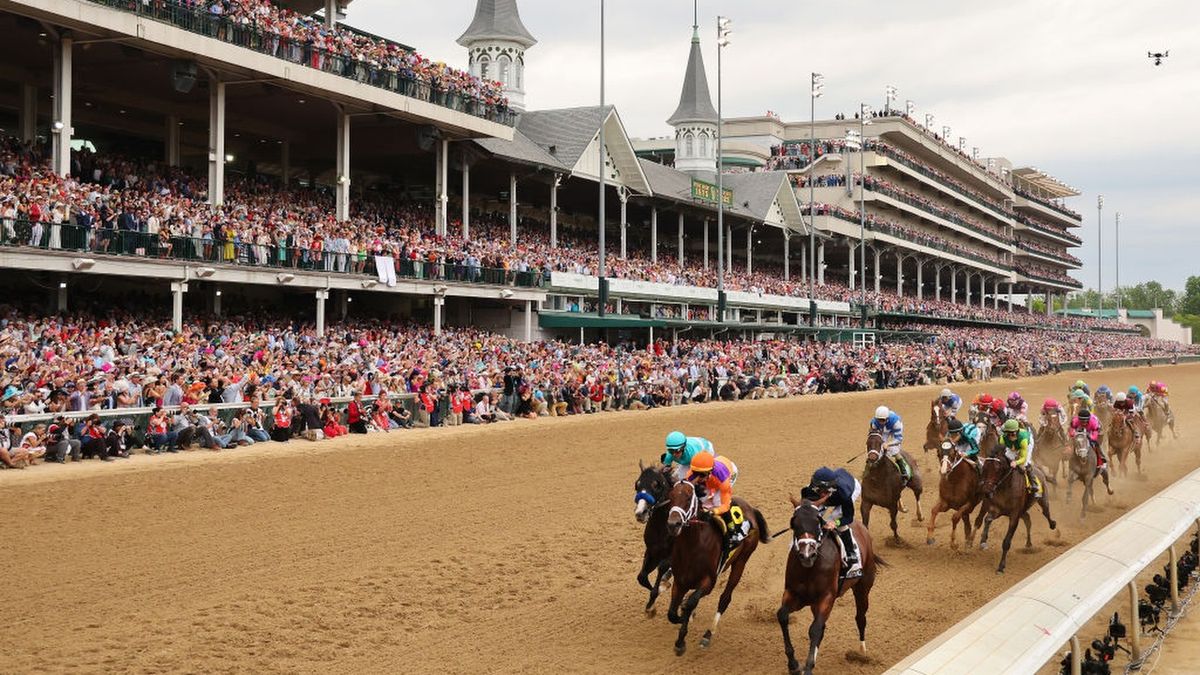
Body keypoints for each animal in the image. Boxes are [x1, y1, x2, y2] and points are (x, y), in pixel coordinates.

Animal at [662, 475, 772, 653]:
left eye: (688, 498)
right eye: (670, 497)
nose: (673, 524)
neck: (693, 546)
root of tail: (750, 508)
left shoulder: (708, 582)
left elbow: (690, 604)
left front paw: (681, 638)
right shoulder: (680, 582)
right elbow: (672, 613)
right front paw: (682, 622)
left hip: (741, 561)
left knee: (725, 599)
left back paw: (708, 634)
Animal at [777, 494, 883, 672]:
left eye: (818, 522)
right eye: (794, 523)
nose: (807, 555)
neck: (810, 568)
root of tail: (863, 529)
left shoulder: (826, 597)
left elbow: (815, 629)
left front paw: (808, 667)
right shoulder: (794, 594)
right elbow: (783, 616)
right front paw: (793, 664)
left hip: (863, 588)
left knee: (860, 617)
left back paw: (862, 652)